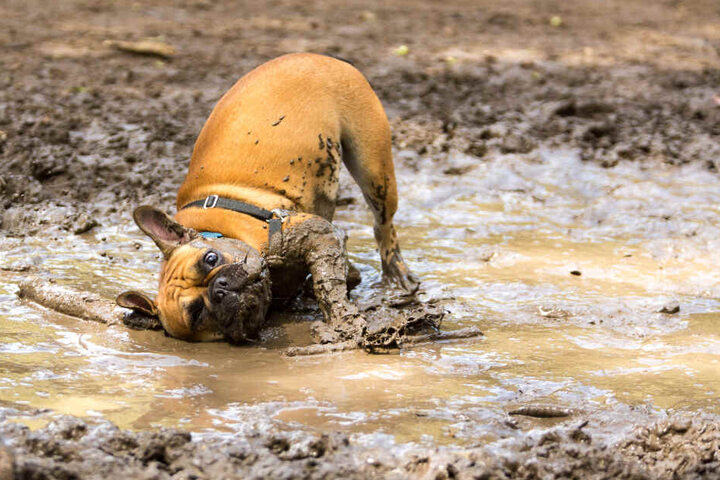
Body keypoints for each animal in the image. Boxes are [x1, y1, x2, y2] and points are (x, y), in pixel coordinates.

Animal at [117, 54, 420, 344]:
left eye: (211, 259)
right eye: (197, 313)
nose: (219, 288)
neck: (218, 230)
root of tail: (318, 56)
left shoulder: (314, 233)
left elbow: (328, 283)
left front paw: (342, 320)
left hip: (373, 168)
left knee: (383, 224)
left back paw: (397, 273)